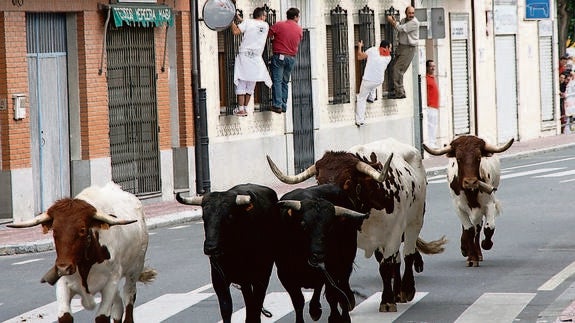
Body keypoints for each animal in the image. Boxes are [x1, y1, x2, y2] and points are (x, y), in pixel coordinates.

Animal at [7, 184, 156, 322]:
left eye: (82, 230)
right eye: (54, 230)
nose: (63, 268)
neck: (86, 263)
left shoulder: (111, 283)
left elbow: (102, 317)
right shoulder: (63, 283)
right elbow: (65, 316)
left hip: (134, 270)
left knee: (128, 297)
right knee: (118, 305)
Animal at [268, 139, 448, 314]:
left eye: (348, 181)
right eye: (318, 180)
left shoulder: (393, 233)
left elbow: (385, 266)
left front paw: (387, 301)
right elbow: (347, 270)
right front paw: (348, 299)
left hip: (414, 222)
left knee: (407, 254)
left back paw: (406, 289)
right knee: (396, 261)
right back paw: (397, 291)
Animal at [426, 135, 516, 268]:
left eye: (478, 158)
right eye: (458, 159)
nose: (470, 182)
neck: (470, 192)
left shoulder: (489, 204)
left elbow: (489, 228)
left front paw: (485, 244)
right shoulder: (458, 208)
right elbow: (468, 230)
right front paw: (471, 257)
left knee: (478, 227)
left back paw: (477, 252)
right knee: (470, 228)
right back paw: (466, 249)